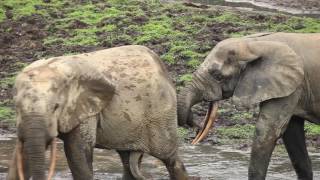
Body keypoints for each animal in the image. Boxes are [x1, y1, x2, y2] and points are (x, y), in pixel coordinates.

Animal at [6, 45, 188, 180]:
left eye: (56, 107)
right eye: (17, 107)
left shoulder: (85, 109)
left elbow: (77, 152)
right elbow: (22, 155)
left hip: (161, 111)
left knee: (170, 159)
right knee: (128, 161)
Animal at [178, 32, 320, 180]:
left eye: (218, 76)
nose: (196, 128)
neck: (253, 44)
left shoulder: (292, 85)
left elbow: (266, 130)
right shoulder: (290, 87)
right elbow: (292, 133)